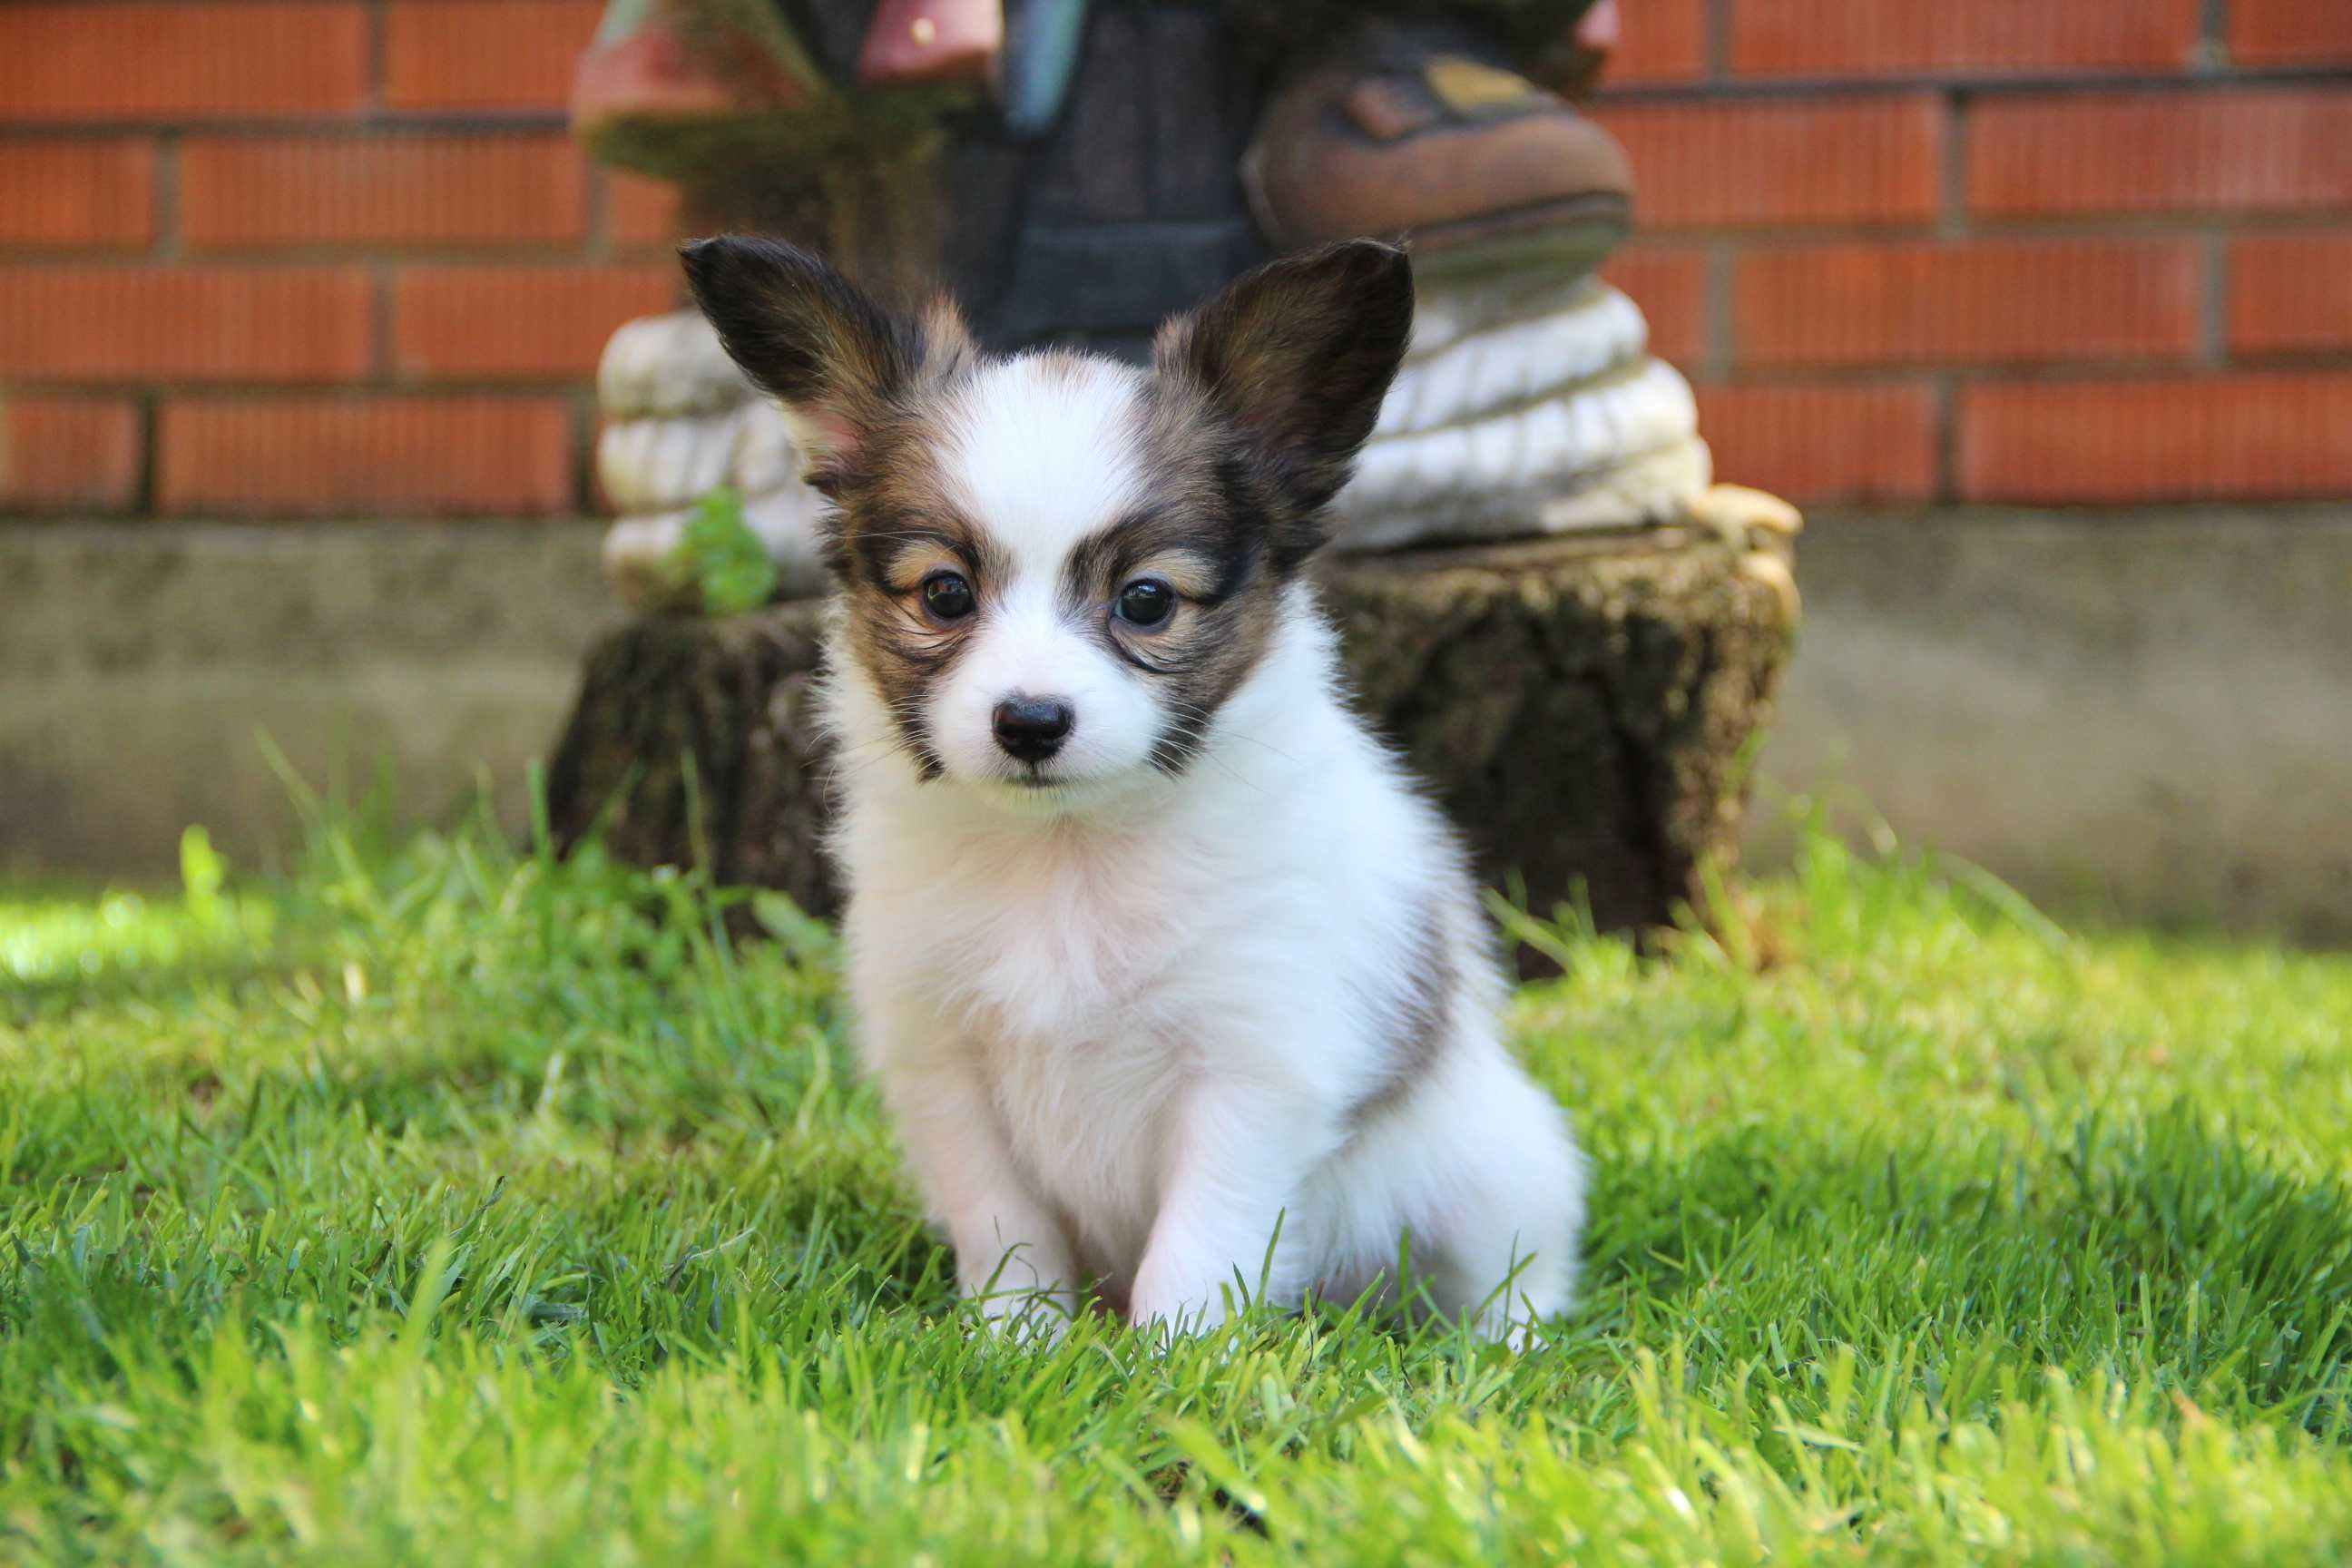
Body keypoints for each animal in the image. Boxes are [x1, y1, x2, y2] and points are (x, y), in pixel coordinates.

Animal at [681, 240, 1599, 1344]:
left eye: (1147, 601)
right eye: (945, 594)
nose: (1031, 721)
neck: (1066, 852)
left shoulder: (1252, 1067)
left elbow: (1202, 1238)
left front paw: (1174, 1359)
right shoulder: (945, 1062)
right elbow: (1004, 1227)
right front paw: (1016, 1345)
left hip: (1493, 1171)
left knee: (1513, 1275)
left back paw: (1500, 1347)